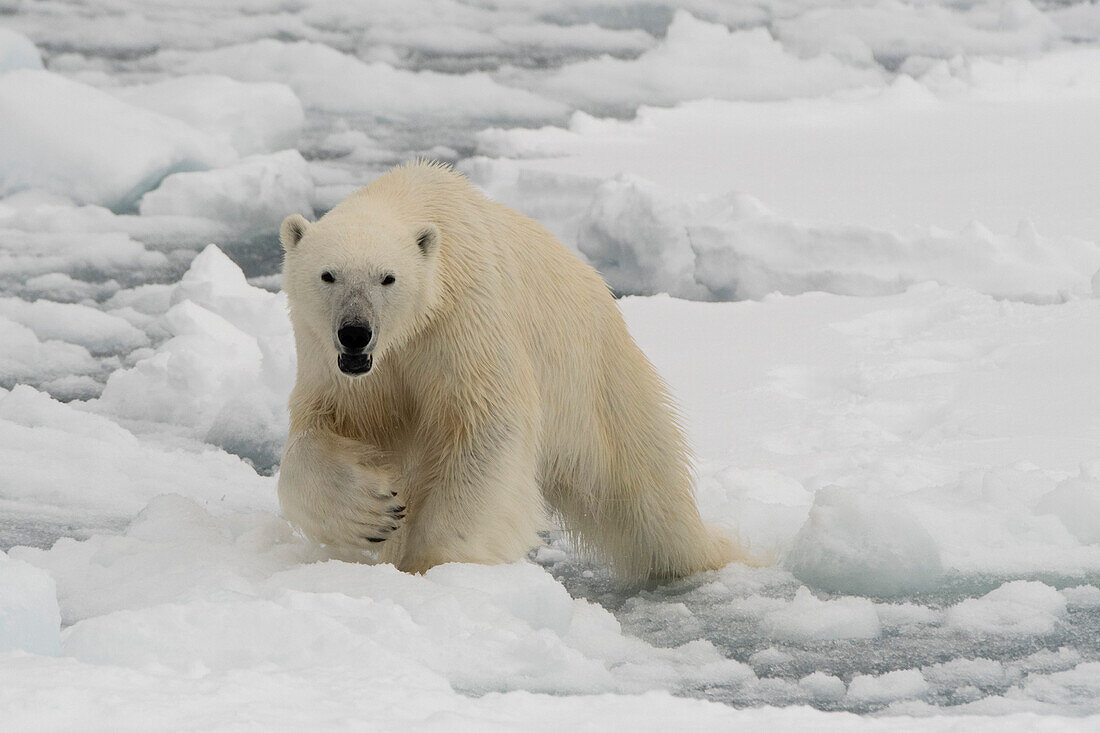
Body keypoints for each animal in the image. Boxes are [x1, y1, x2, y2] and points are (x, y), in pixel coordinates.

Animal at [275, 161, 743, 581]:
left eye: (388, 278)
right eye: (328, 275)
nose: (355, 332)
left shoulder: (465, 321)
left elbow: (486, 424)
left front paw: (434, 562)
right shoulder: (335, 362)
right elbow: (321, 428)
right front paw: (374, 511)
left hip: (598, 382)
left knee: (646, 494)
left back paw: (706, 555)